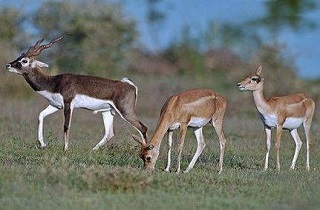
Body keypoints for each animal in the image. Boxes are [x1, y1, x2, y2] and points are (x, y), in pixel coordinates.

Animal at [5, 36, 148, 151]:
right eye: (18, 57)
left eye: (24, 61)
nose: (8, 65)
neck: (54, 82)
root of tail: (129, 85)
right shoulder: (56, 105)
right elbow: (40, 116)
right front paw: (43, 144)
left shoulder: (68, 104)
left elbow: (66, 125)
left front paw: (65, 149)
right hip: (107, 111)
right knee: (109, 133)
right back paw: (92, 150)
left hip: (125, 111)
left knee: (143, 128)